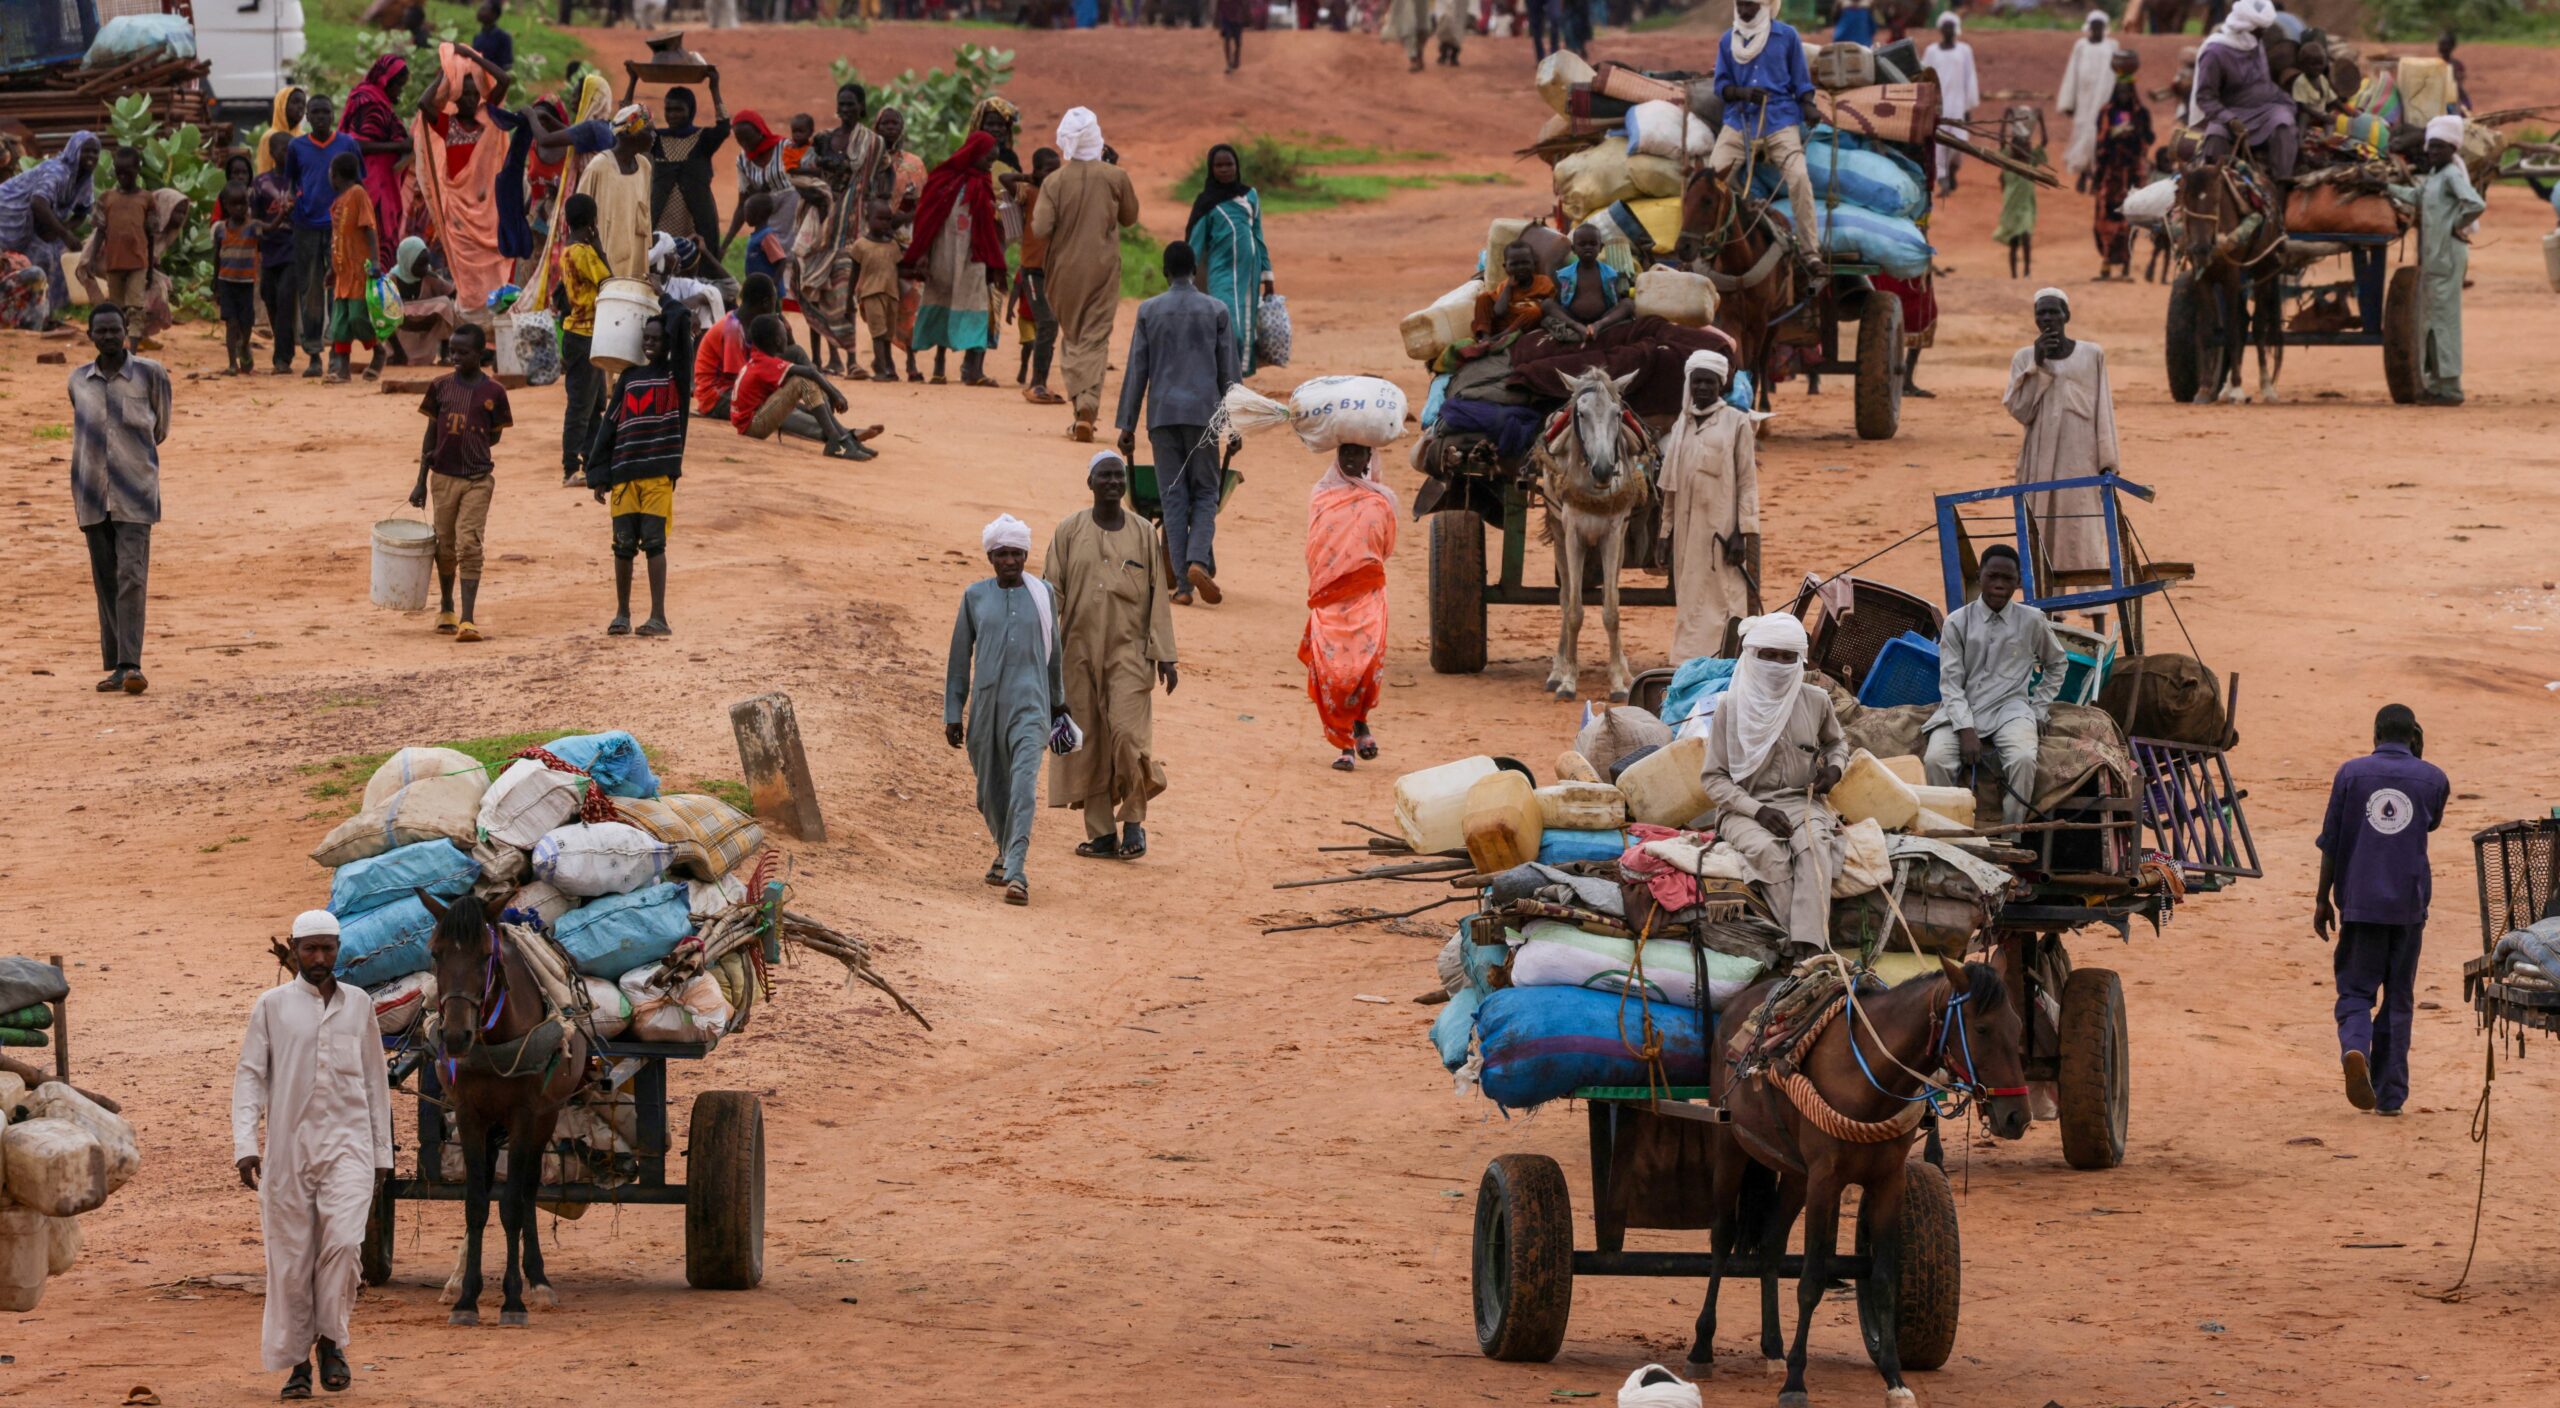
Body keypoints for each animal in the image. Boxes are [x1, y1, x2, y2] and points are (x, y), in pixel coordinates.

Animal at [419, 901, 588, 1331]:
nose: (455, 1036)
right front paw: (467, 1299)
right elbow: (476, 1204)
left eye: (486, 957)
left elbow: (511, 1204)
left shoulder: (525, 1114)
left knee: (527, 1189)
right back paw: (458, 1280)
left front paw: (513, 1300)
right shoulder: (468, 1113)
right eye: (435, 953)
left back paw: (538, 1281)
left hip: (546, 1116)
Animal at [1689, 962, 2027, 1408]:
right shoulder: (1825, 1181)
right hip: (1731, 1146)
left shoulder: (1887, 1183)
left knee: (1771, 1246)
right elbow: (1811, 1282)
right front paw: (1796, 1382)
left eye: (2018, 1024)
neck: (1866, 1076)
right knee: (1722, 1239)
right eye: (1983, 1028)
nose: (2018, 1116)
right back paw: (1702, 1347)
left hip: (1795, 1174)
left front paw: (1894, 1378)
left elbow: (1882, 1281)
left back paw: (1774, 1349)